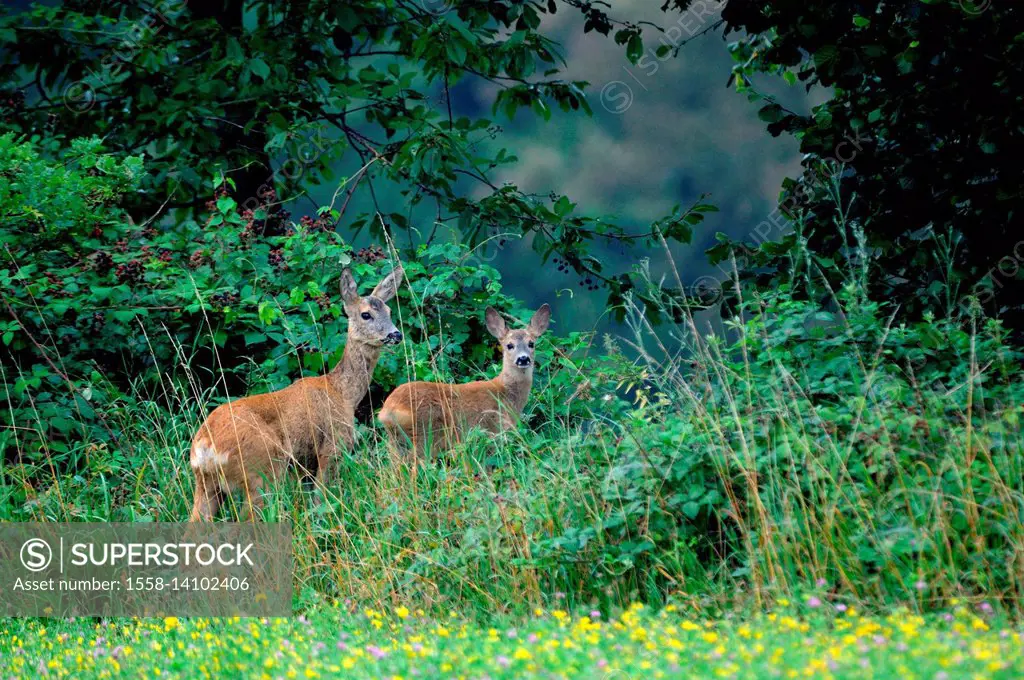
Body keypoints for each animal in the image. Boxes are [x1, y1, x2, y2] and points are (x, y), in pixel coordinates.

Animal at [189, 266, 403, 520]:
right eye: (366, 315)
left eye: (389, 310)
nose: (396, 335)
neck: (343, 393)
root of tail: (205, 446)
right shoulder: (333, 446)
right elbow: (321, 499)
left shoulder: (303, 466)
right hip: (262, 470)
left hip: (206, 485)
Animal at [378, 303, 552, 458]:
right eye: (509, 345)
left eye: (531, 343)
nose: (523, 359)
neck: (506, 394)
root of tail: (386, 411)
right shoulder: (494, 427)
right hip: (425, 434)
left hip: (397, 442)